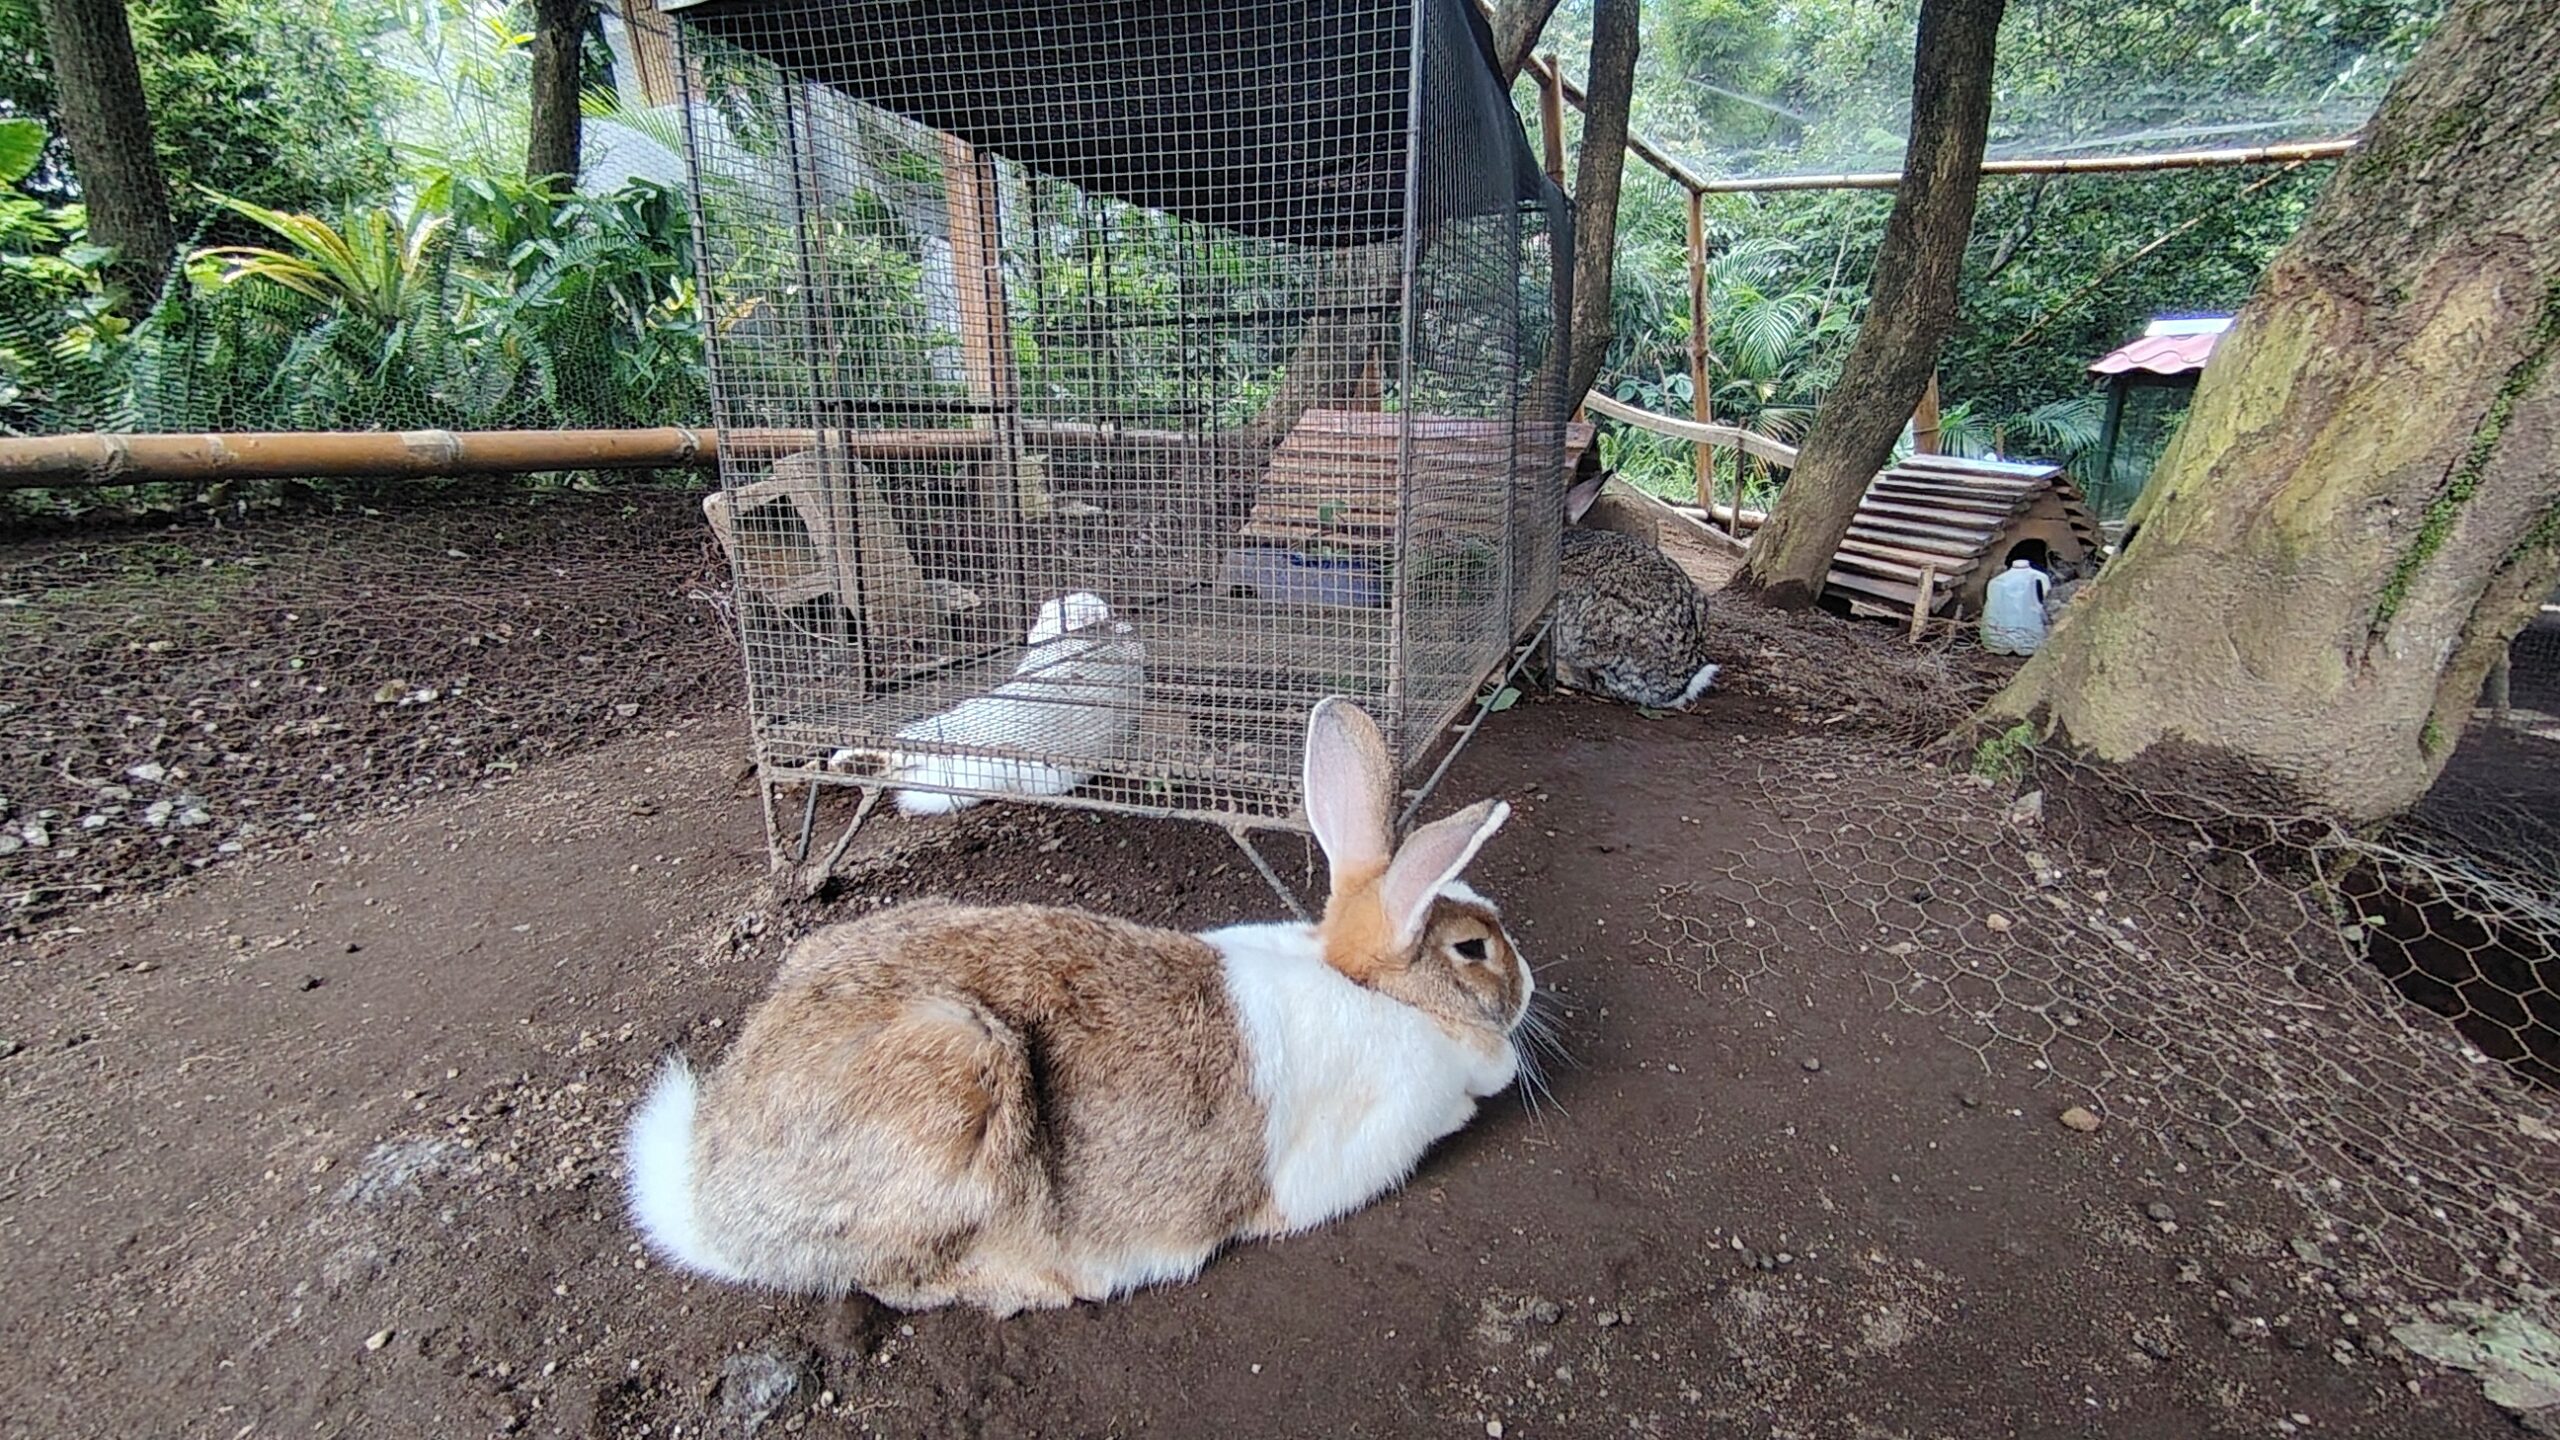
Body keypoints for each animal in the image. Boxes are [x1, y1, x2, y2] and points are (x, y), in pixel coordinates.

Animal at [624, 696, 1531, 1315]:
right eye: (1472, 949)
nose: (1526, 988)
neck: (1375, 992)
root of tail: (707, 1196)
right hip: (958, 1068)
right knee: (892, 1278)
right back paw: (1044, 1280)